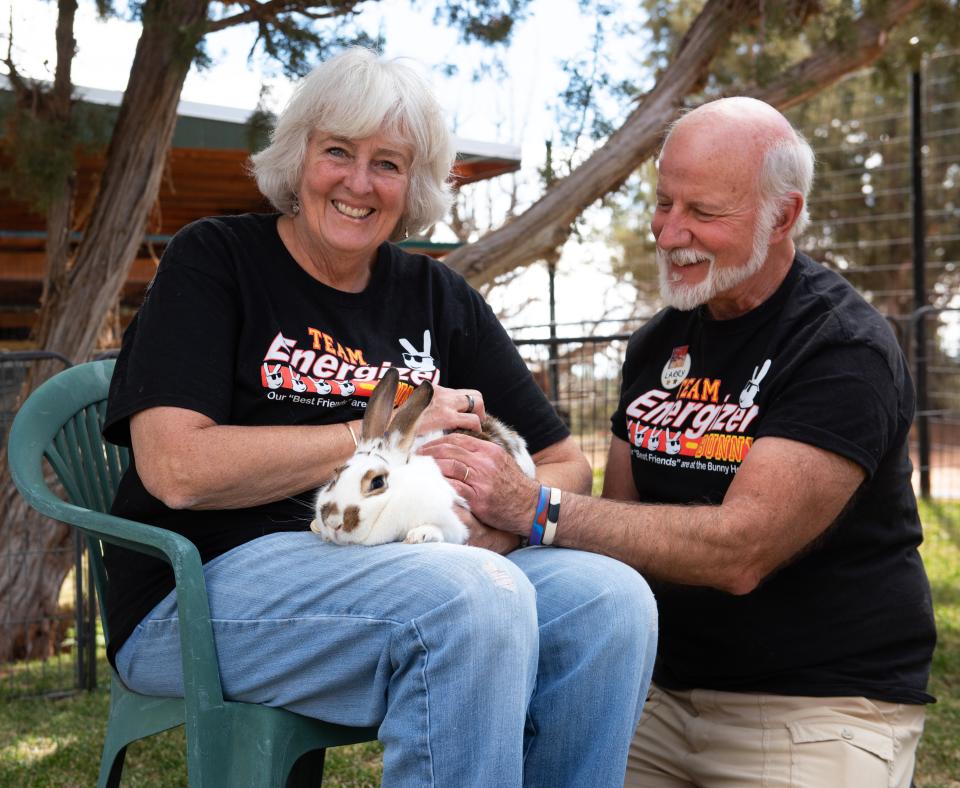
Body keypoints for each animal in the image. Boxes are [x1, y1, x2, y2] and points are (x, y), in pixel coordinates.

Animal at [310, 366, 536, 544]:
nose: (333, 522)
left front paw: (419, 535)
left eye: (377, 482)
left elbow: (445, 531)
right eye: (335, 476)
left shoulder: (452, 522)